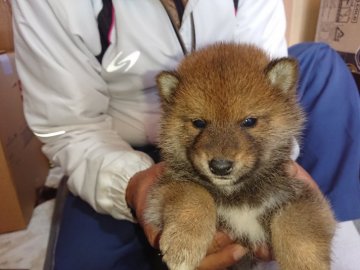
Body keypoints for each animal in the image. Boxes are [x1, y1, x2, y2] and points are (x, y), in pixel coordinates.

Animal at [145, 43, 336, 268]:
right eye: (199, 123)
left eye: (249, 121)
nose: (219, 166)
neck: (236, 194)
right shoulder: (164, 190)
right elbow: (194, 196)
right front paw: (184, 243)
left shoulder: (298, 196)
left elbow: (296, 226)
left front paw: (306, 263)